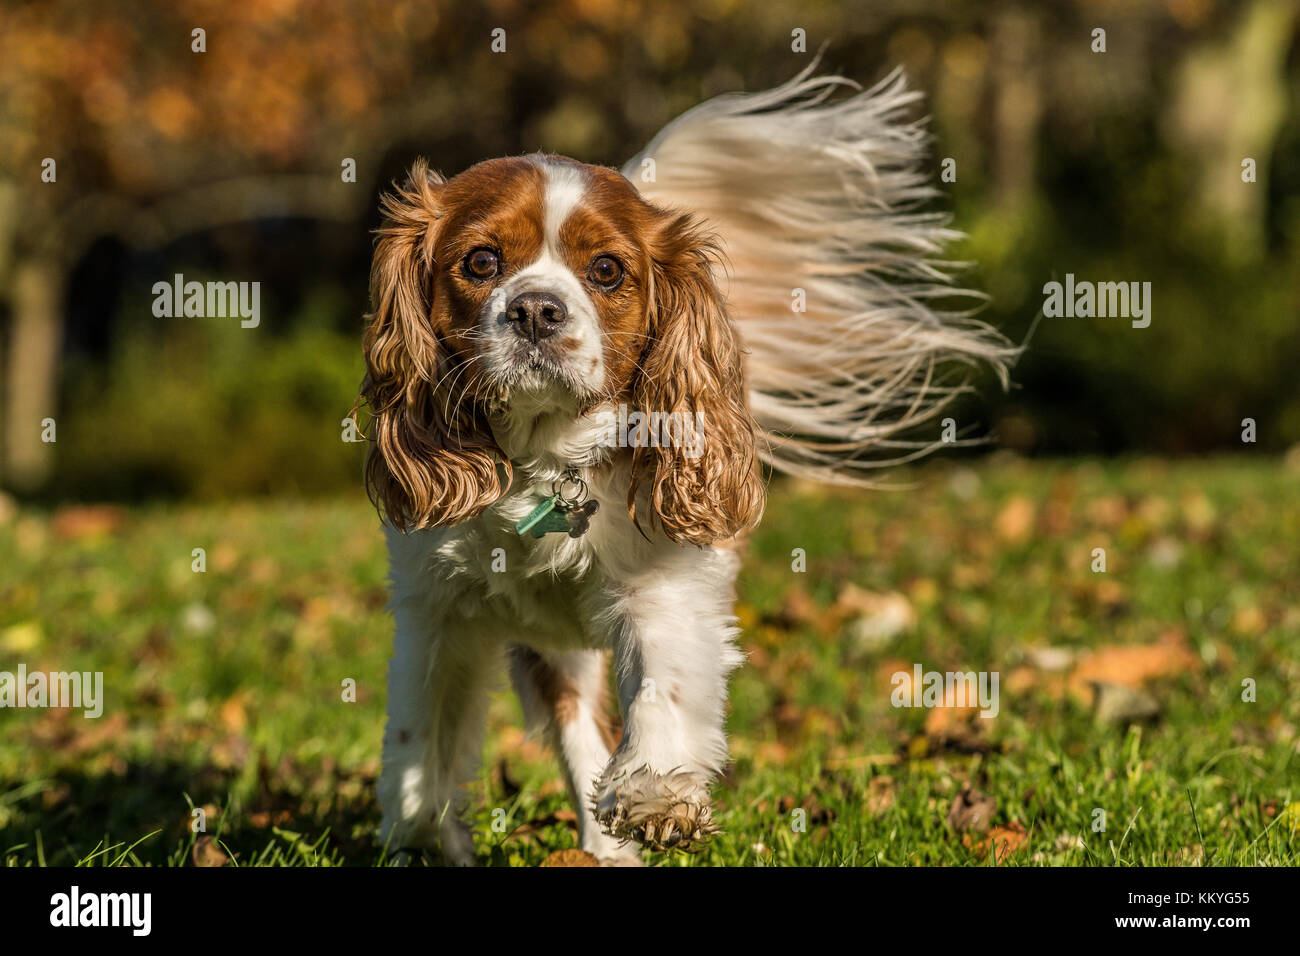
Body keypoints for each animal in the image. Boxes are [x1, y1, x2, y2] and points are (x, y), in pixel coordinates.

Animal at [361, 63, 1008, 863]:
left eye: (607, 270)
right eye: (481, 262)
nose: (537, 309)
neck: (548, 461)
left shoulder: (662, 588)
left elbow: (661, 689)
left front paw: (655, 795)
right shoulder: (437, 610)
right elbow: (420, 741)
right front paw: (424, 832)